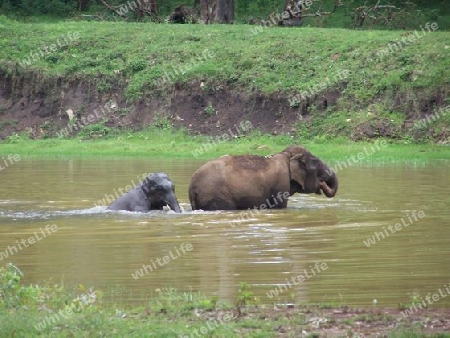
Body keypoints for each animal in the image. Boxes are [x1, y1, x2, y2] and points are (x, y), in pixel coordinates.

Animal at [187, 146, 338, 211]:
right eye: (318, 165)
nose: (323, 184)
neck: (287, 155)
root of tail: (191, 187)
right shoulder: (281, 185)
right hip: (217, 196)